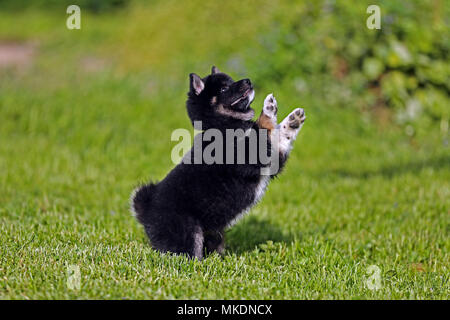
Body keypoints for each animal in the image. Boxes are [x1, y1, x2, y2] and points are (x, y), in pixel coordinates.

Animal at [131, 66, 306, 258]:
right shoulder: (249, 154)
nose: (247, 80)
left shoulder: (272, 158)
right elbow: (263, 127)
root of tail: (146, 210)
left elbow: (280, 136)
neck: (224, 125)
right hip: (187, 232)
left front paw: (292, 121)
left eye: (231, 81)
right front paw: (268, 109)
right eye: (223, 89)